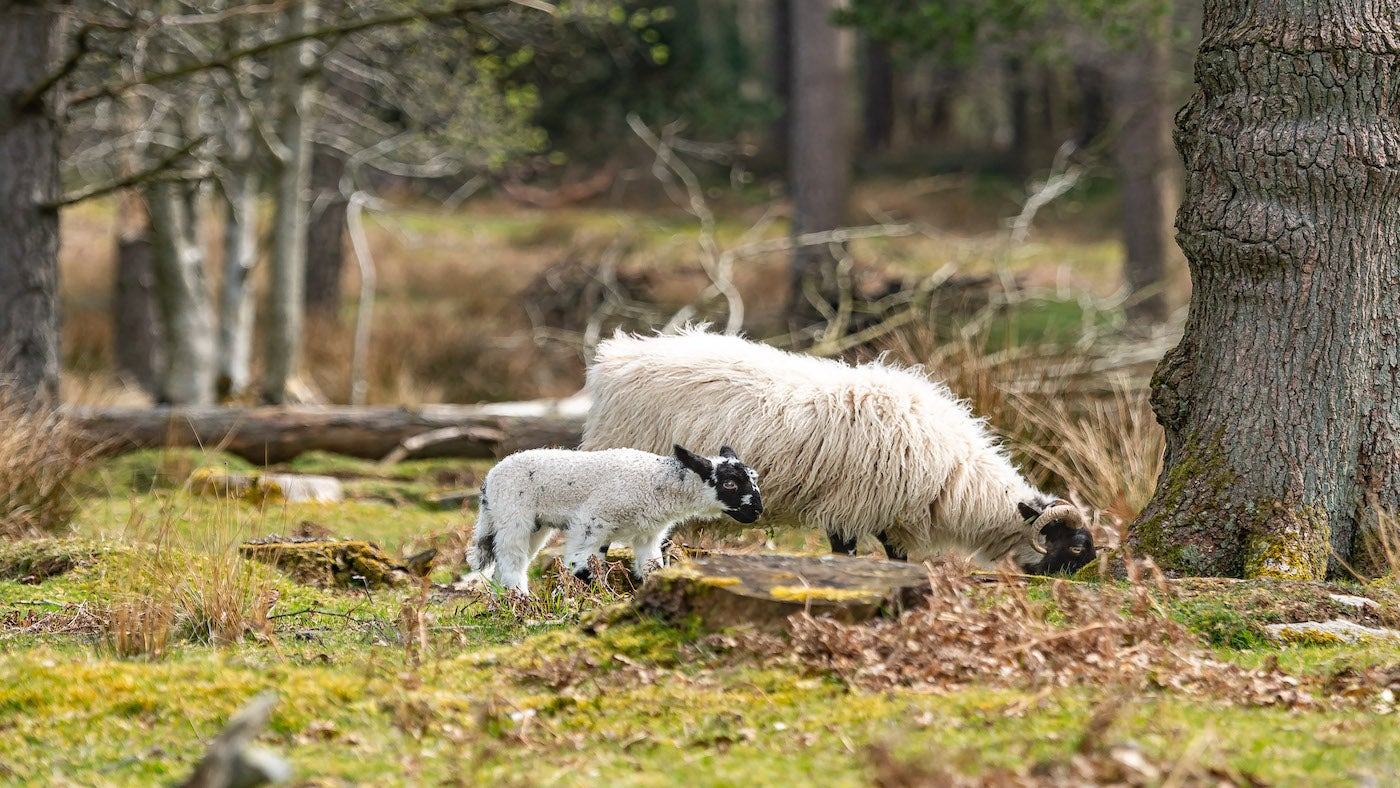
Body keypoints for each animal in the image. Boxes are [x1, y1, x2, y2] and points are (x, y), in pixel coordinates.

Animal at [467, 444, 762, 594]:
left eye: (754, 479)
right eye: (729, 483)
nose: (757, 512)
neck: (656, 483)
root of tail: (488, 481)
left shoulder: (648, 534)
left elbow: (652, 567)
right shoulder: (591, 521)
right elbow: (582, 567)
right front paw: (592, 602)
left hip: (535, 526)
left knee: (506, 563)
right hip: (513, 515)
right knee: (511, 560)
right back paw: (520, 599)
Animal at [580, 328, 1096, 575]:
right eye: (1073, 545)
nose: (1086, 578)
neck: (958, 480)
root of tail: (614, 359)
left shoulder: (888, 510)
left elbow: (896, 555)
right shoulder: (851, 505)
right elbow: (846, 553)